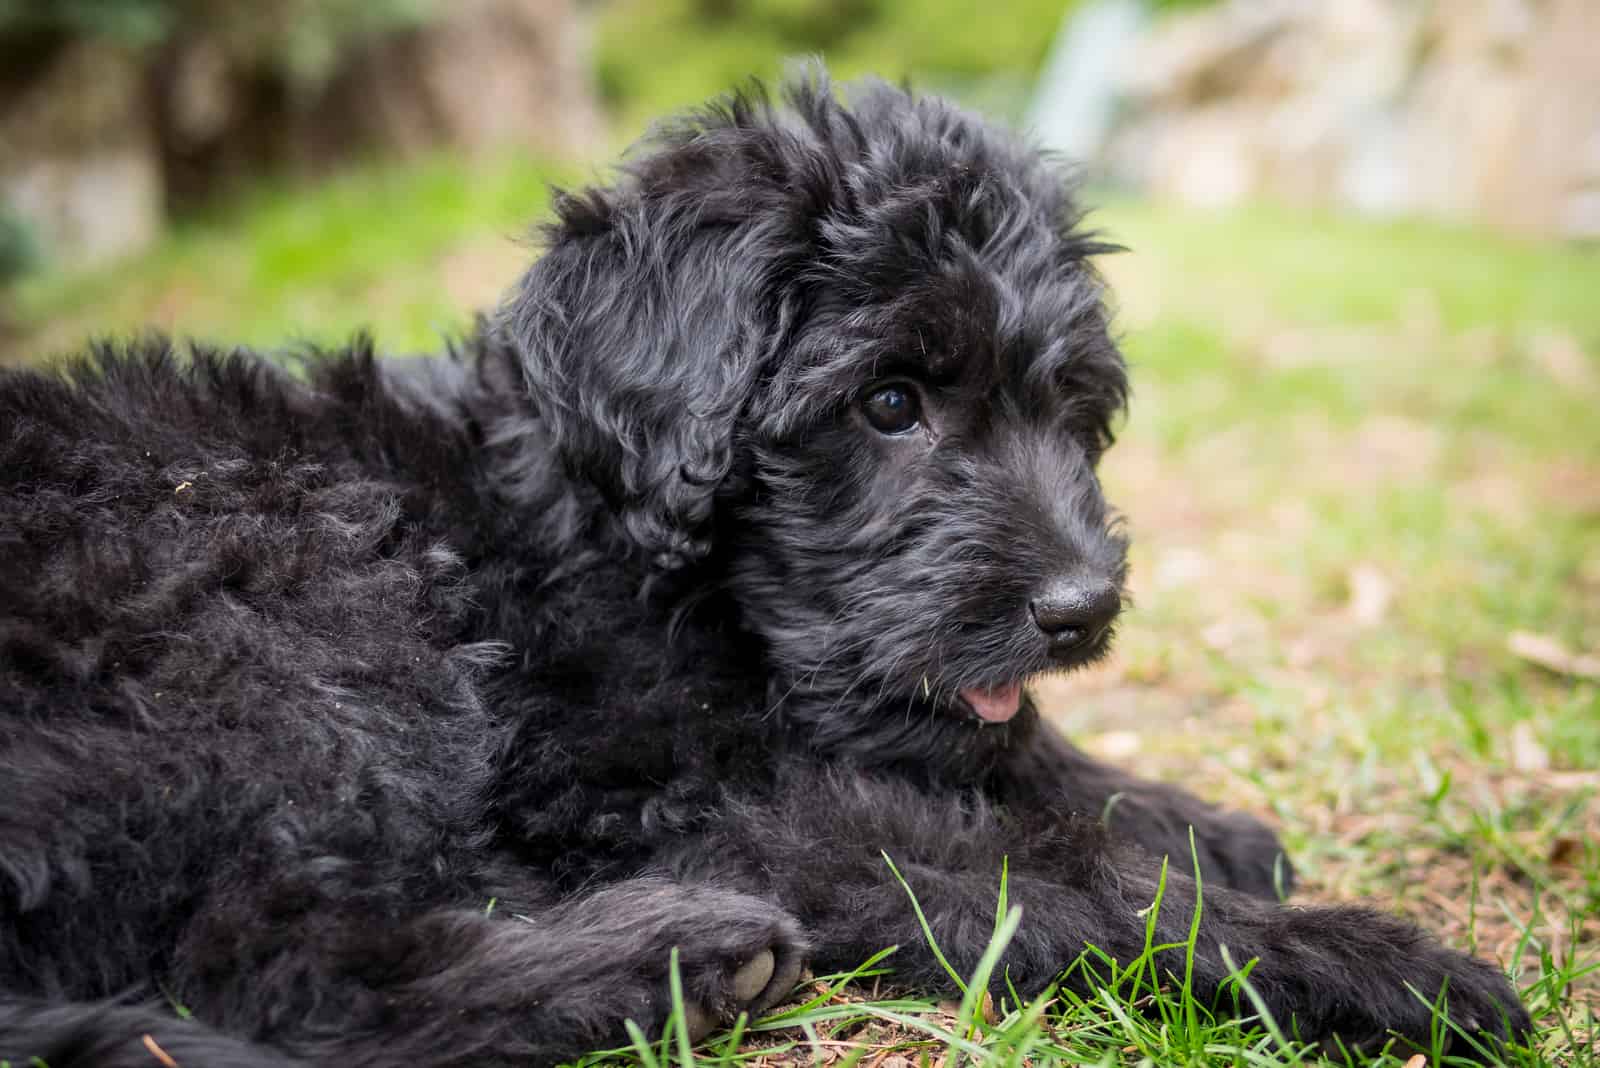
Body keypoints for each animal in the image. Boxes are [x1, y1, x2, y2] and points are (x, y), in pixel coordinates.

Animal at [0, 77, 1523, 1068]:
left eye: (1071, 411)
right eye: (890, 403)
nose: (1081, 609)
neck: (594, 532)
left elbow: (1013, 761)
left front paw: (1189, 814)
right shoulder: (668, 798)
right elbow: (1015, 859)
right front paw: (1352, 955)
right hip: (299, 604)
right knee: (263, 954)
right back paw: (672, 958)